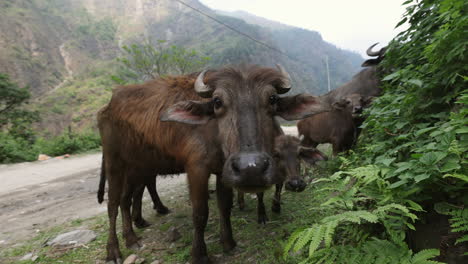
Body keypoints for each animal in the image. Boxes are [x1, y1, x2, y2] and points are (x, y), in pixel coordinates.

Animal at [96, 64, 330, 264]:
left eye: (272, 99)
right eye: (217, 102)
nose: (251, 168)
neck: (215, 135)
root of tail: (107, 108)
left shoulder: (223, 171)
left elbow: (224, 206)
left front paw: (228, 242)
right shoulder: (196, 169)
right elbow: (200, 213)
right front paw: (199, 254)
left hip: (137, 167)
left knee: (126, 200)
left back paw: (131, 237)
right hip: (115, 162)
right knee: (112, 205)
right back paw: (113, 250)